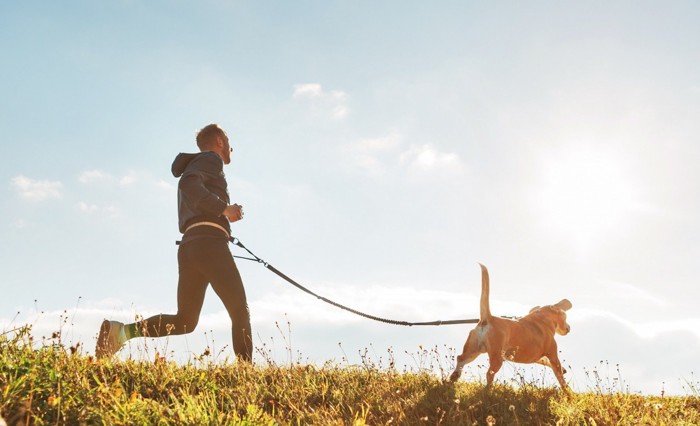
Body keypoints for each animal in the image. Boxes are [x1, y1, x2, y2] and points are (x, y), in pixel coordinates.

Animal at [448, 264, 576, 392]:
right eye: (565, 315)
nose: (569, 328)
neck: (542, 318)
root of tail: (487, 318)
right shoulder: (553, 355)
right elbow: (560, 377)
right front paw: (568, 392)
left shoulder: (538, 357)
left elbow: (545, 362)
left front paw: (564, 370)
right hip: (496, 357)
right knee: (489, 373)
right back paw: (488, 390)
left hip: (473, 350)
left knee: (460, 359)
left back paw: (453, 378)